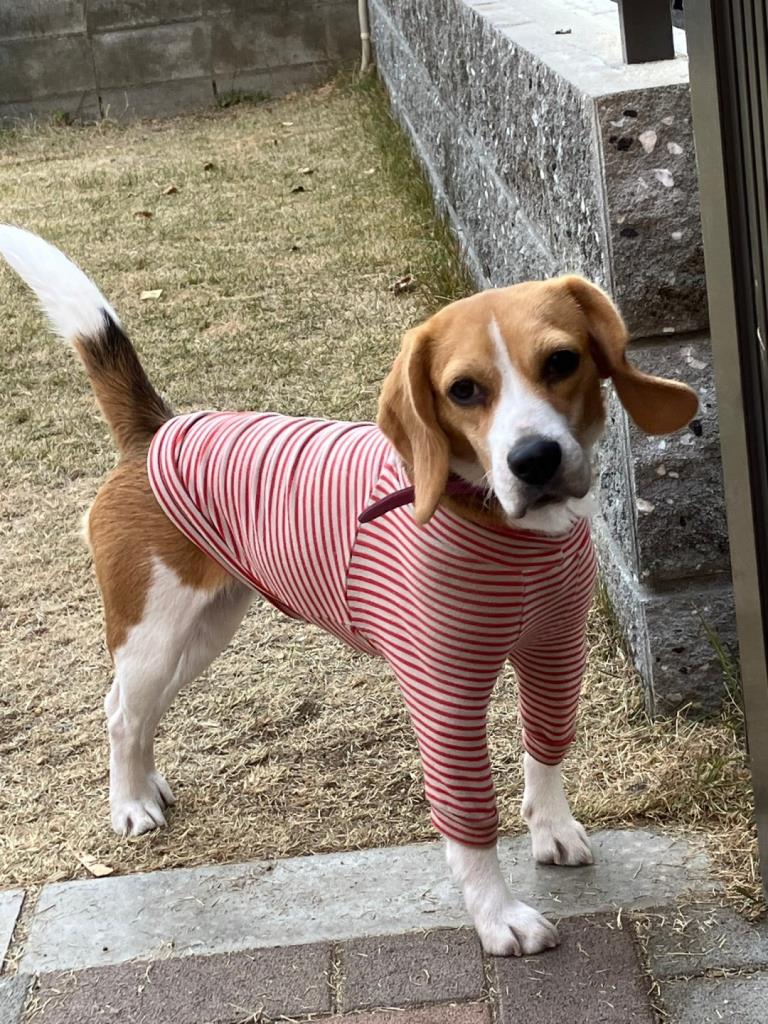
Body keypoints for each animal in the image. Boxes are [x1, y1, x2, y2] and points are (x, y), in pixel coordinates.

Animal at [0, 226, 698, 956]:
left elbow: (546, 748)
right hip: (152, 633)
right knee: (119, 712)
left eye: (563, 360)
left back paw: (147, 782)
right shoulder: (443, 695)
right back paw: (130, 803)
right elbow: (468, 818)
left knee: (139, 711)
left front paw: (551, 829)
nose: (533, 459)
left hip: (204, 630)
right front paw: (497, 915)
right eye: (464, 391)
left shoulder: (555, 654)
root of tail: (155, 430)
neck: (510, 532)